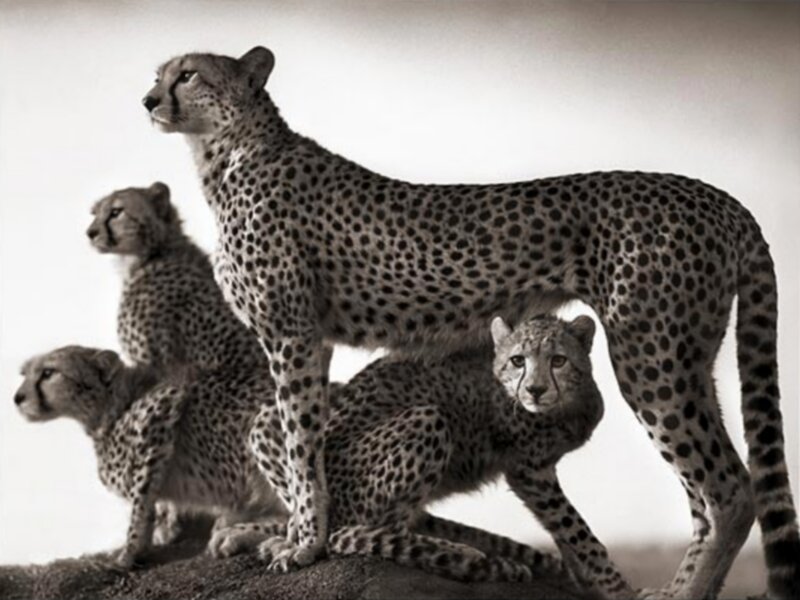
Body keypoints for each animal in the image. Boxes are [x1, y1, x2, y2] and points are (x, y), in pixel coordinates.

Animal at [13, 345, 286, 568]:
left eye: (48, 373)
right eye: (24, 374)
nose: (17, 397)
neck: (113, 405)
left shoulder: (164, 403)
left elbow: (141, 499)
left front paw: (129, 552)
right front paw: (165, 530)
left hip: (263, 425)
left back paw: (249, 537)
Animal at [142, 45, 799, 599]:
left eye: (189, 74)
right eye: (158, 72)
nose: (148, 100)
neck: (226, 151)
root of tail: (718, 196)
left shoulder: (292, 334)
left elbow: (301, 443)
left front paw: (303, 543)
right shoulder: (307, 341)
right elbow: (298, 439)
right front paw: (298, 532)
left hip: (648, 356)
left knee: (728, 489)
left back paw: (684, 590)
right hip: (689, 357)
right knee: (706, 491)